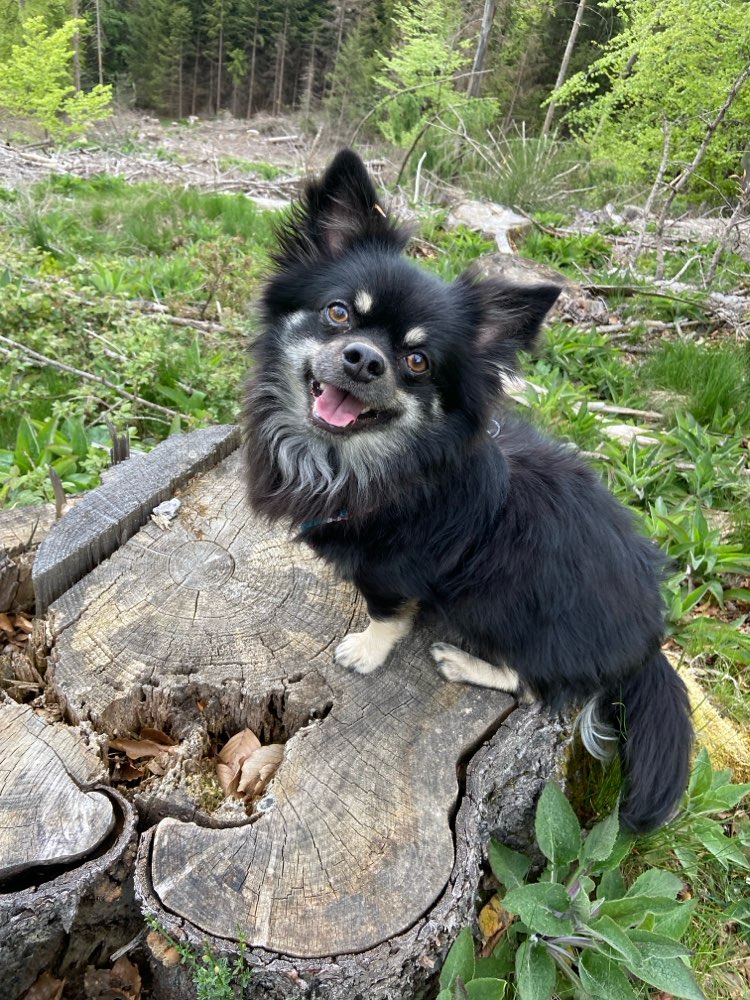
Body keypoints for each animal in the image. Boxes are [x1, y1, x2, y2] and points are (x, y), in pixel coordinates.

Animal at [245, 150, 692, 836]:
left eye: (419, 361)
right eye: (339, 313)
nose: (364, 359)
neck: (359, 462)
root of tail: (650, 644)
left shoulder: (399, 568)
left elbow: (388, 613)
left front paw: (365, 650)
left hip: (497, 599)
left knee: (535, 687)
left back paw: (461, 661)